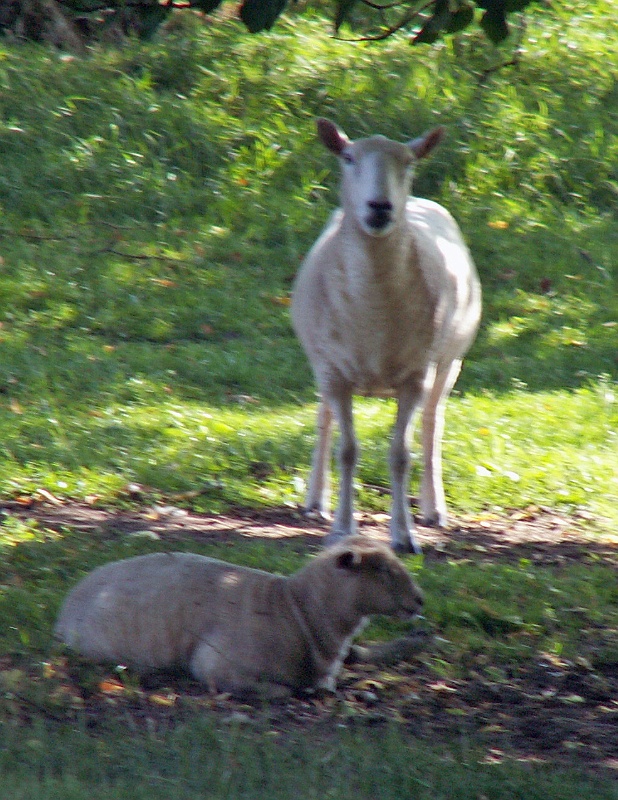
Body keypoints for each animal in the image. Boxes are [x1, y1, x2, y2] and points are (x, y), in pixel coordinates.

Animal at [290, 119, 482, 552]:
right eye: (348, 157)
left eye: (409, 162)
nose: (380, 207)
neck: (374, 317)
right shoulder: (333, 371)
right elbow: (347, 450)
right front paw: (341, 530)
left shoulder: (415, 375)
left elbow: (401, 455)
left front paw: (404, 535)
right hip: (321, 363)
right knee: (323, 419)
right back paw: (315, 500)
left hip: (451, 361)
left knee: (432, 423)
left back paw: (434, 508)